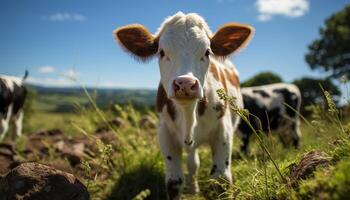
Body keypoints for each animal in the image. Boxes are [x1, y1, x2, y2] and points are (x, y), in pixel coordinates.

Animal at [115, 12, 254, 200]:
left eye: (207, 52)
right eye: (161, 52)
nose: (185, 83)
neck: (188, 116)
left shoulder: (223, 130)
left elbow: (221, 180)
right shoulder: (165, 131)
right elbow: (174, 181)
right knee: (192, 162)